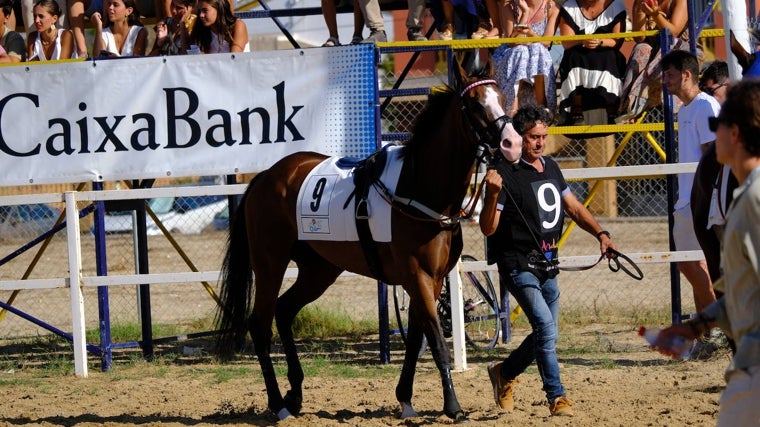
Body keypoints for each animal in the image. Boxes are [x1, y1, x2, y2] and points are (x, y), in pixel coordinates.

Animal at [214, 56, 524, 422]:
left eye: (502, 99)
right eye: (475, 104)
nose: (512, 143)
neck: (419, 187)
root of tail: (264, 177)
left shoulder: (430, 281)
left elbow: (416, 340)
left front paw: (405, 399)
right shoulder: (418, 277)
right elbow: (436, 340)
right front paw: (453, 406)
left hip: (319, 270)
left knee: (285, 311)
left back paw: (296, 393)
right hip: (270, 264)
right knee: (260, 325)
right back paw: (279, 405)